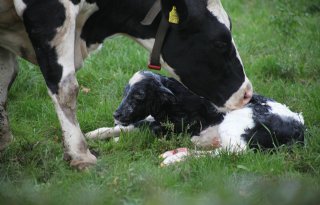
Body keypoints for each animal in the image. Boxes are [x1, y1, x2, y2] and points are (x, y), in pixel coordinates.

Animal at [1, 0, 254, 170]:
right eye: (220, 42)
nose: (247, 93)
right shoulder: (49, 13)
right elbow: (66, 88)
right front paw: (81, 155)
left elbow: (6, 78)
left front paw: (5, 143)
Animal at [85, 71, 304, 166]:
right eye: (125, 93)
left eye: (138, 96)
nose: (116, 114)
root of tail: (299, 130)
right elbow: (132, 125)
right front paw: (92, 134)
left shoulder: (174, 128)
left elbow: (137, 128)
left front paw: (114, 141)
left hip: (237, 125)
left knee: (231, 153)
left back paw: (175, 158)